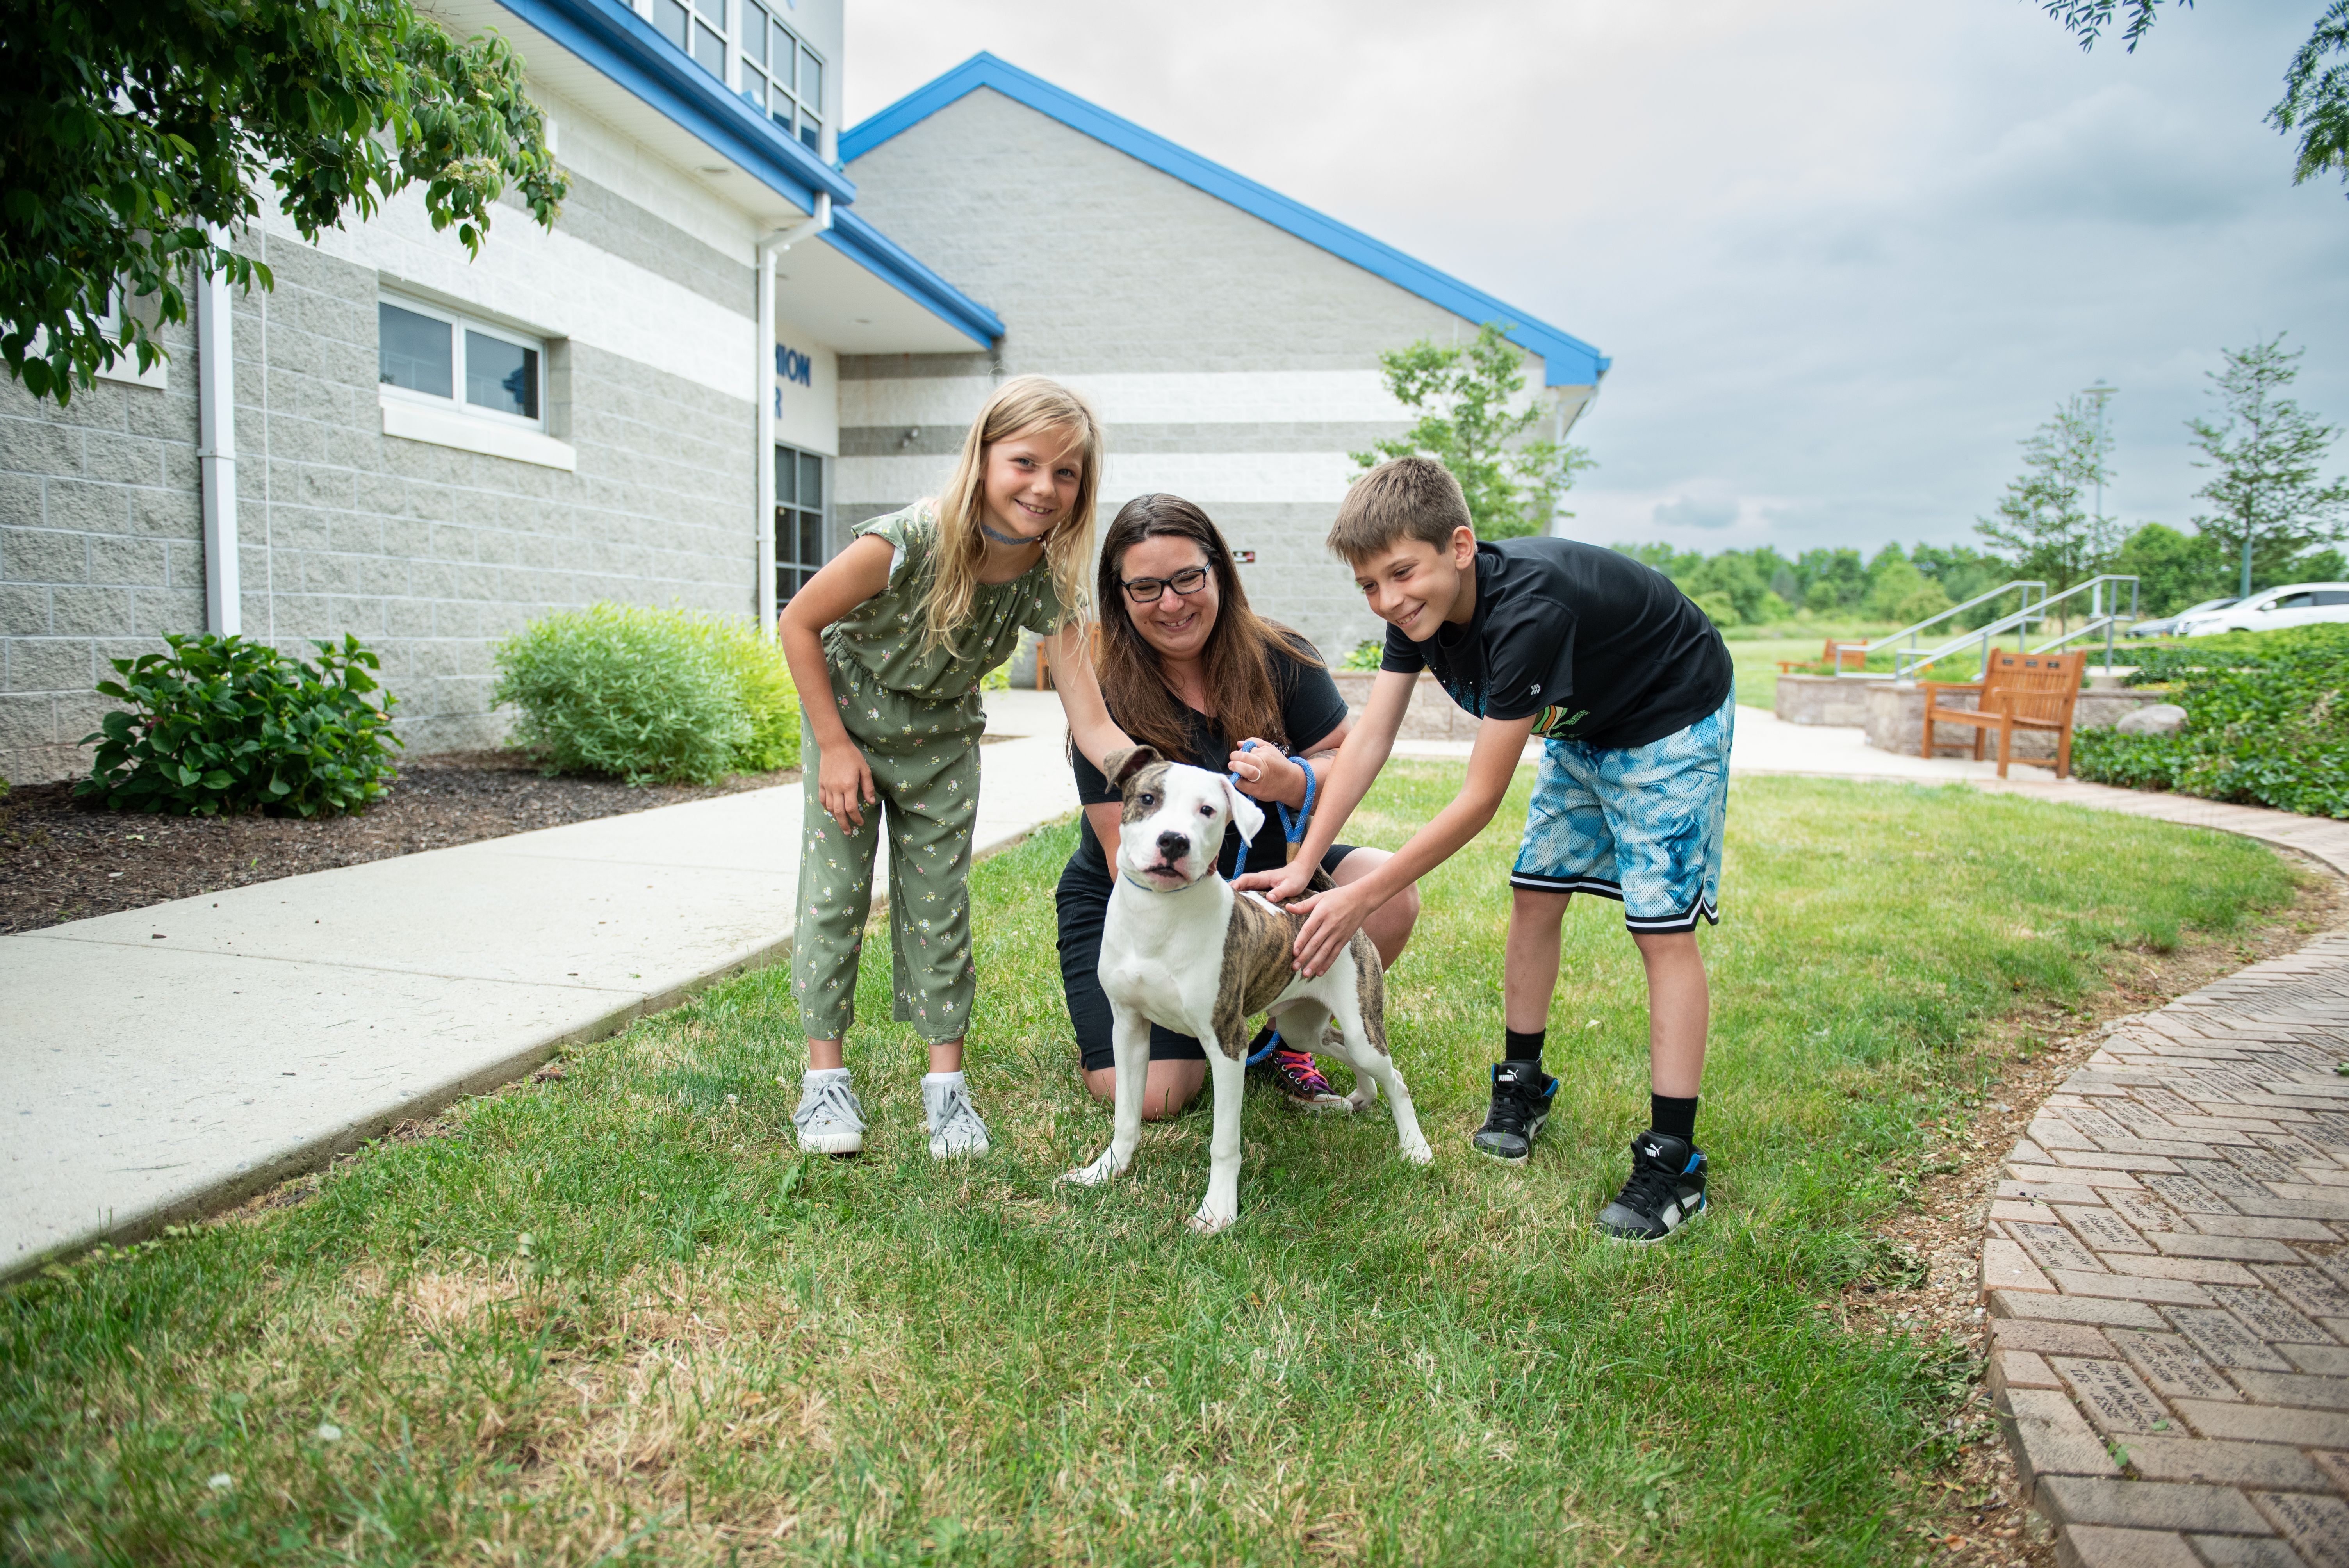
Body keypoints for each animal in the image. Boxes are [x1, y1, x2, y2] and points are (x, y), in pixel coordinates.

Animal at [1066, 741, 1428, 1230]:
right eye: (1147, 798)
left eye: (1208, 810)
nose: (1173, 841)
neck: (1160, 916)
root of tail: (1322, 901)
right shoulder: (1127, 1028)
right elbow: (1125, 1115)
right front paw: (1104, 1171)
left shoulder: (1227, 1043)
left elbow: (1223, 1142)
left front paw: (1217, 1211)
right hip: (1303, 1026)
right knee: (1336, 1045)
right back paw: (1359, 1096)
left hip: (1360, 1022)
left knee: (1394, 1075)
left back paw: (1415, 1147)